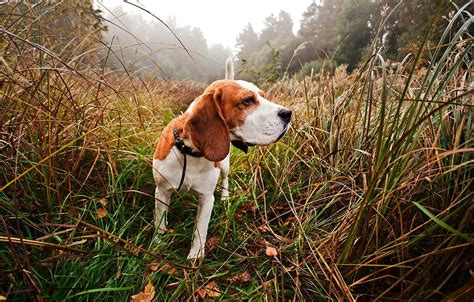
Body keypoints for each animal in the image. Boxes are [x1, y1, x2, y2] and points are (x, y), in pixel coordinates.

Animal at [154, 59, 290, 260]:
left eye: (263, 96)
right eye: (247, 101)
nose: (289, 113)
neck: (191, 152)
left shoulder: (206, 198)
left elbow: (200, 230)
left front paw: (195, 257)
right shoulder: (162, 191)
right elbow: (160, 223)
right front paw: (157, 244)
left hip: (225, 165)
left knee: (225, 179)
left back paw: (225, 198)